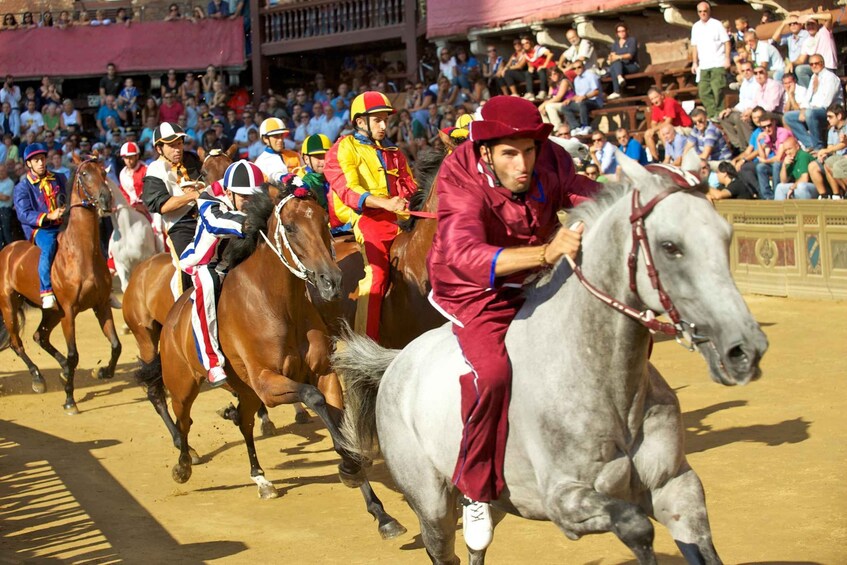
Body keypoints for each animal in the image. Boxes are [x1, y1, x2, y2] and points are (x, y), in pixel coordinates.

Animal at [0, 156, 120, 412]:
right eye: (84, 174)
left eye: (103, 172)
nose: (106, 199)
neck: (82, 253)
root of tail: (8, 250)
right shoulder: (69, 311)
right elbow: (74, 354)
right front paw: (69, 400)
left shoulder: (101, 305)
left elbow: (116, 345)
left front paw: (101, 371)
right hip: (10, 306)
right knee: (17, 343)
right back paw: (38, 378)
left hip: (51, 312)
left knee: (39, 337)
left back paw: (63, 370)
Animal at [151, 186, 406, 536]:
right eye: (290, 227)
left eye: (325, 221)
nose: (331, 280)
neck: (278, 304)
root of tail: (171, 318)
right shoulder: (268, 383)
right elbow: (313, 398)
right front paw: (350, 466)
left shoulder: (322, 374)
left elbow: (336, 418)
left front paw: (378, 509)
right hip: (183, 384)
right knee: (184, 421)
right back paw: (184, 465)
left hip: (244, 389)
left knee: (244, 421)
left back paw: (261, 478)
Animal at [334, 151, 772, 564]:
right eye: (670, 246)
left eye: (726, 236)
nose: (744, 349)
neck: (605, 383)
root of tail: (396, 362)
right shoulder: (563, 500)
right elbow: (636, 527)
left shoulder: (676, 485)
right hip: (431, 501)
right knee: (444, 549)